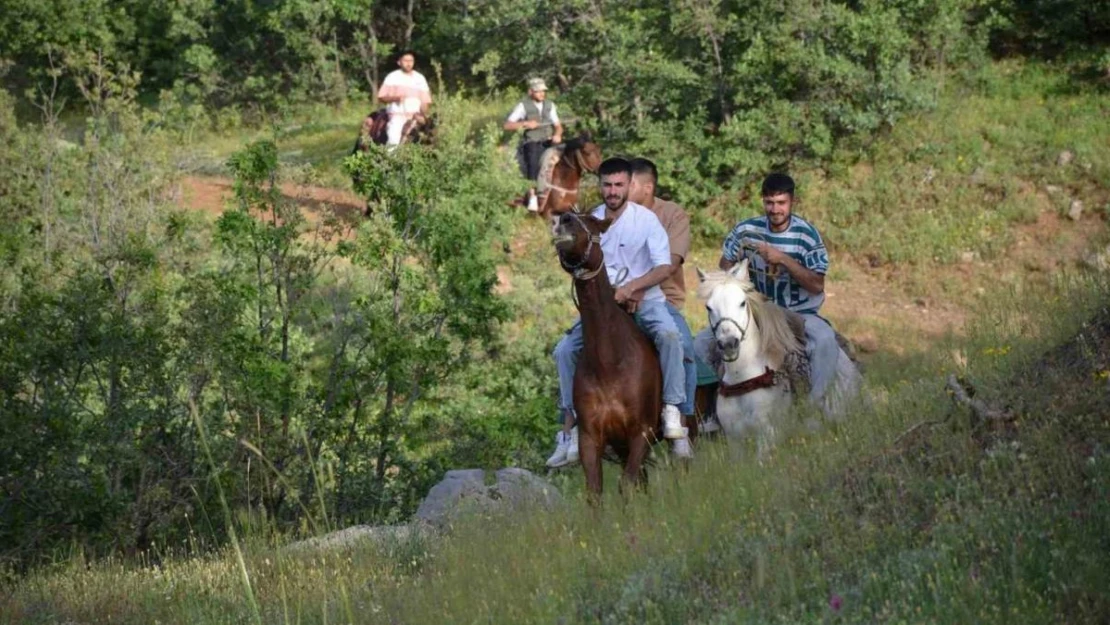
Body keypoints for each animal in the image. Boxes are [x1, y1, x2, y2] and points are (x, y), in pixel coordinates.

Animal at [552, 213, 697, 501]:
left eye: (592, 222)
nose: (564, 219)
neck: (609, 362)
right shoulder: (592, 438)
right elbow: (596, 492)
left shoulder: (641, 432)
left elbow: (627, 485)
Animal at [697, 261, 861, 457]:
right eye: (708, 307)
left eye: (742, 303)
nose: (729, 344)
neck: (743, 379)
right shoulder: (735, 441)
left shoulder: (767, 436)